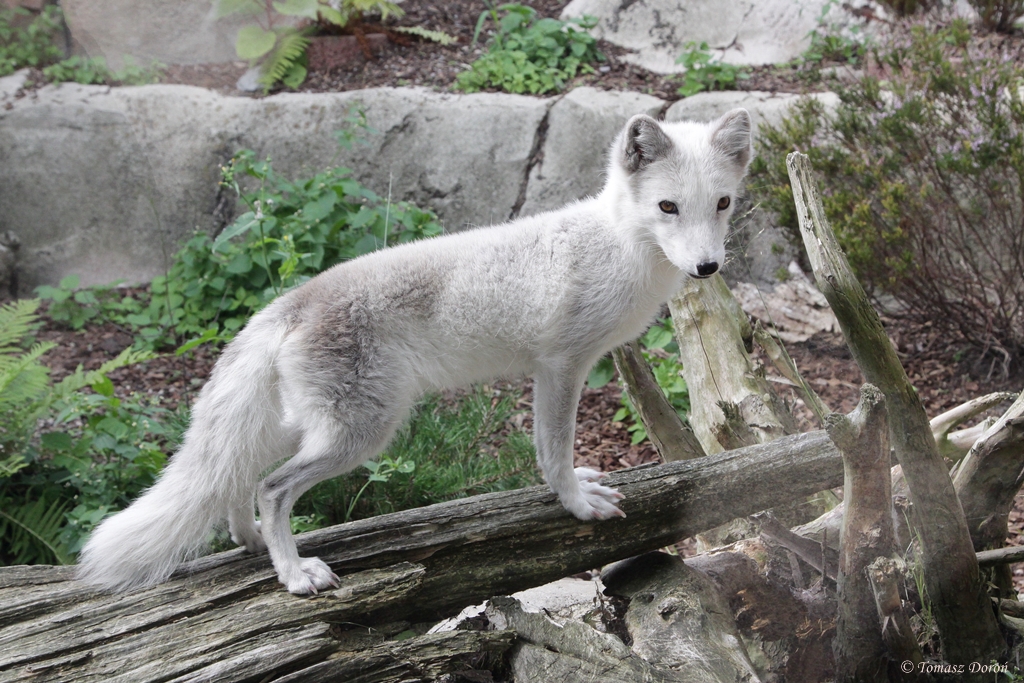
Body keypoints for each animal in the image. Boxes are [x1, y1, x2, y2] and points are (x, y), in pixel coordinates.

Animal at [77, 108, 754, 595]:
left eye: (721, 203)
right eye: (667, 207)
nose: (706, 267)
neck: (619, 243)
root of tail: (290, 303)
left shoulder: (554, 370)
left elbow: (550, 450)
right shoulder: (562, 366)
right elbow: (554, 451)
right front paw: (576, 504)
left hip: (306, 429)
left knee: (238, 481)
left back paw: (252, 546)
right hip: (361, 433)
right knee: (270, 488)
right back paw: (294, 574)